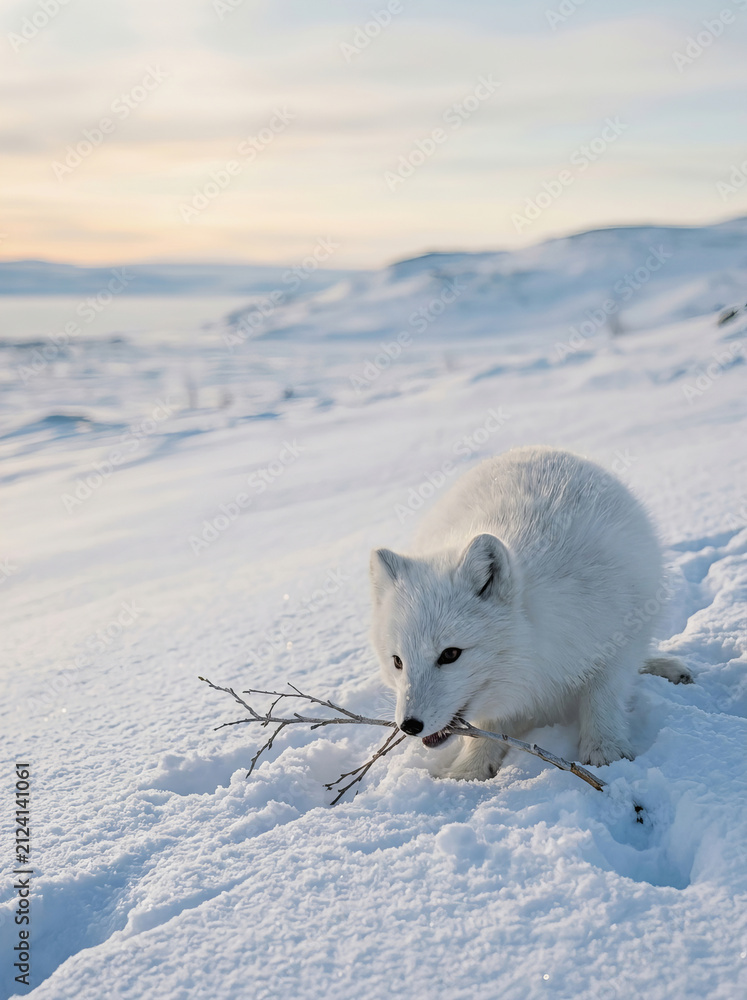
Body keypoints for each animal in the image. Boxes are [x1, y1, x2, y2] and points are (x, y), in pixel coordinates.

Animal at [370, 446, 691, 781]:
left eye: (450, 654)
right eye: (397, 661)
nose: (409, 726)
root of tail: (536, 449)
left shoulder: (620, 634)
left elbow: (604, 694)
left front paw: (606, 750)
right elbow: (489, 725)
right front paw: (470, 769)